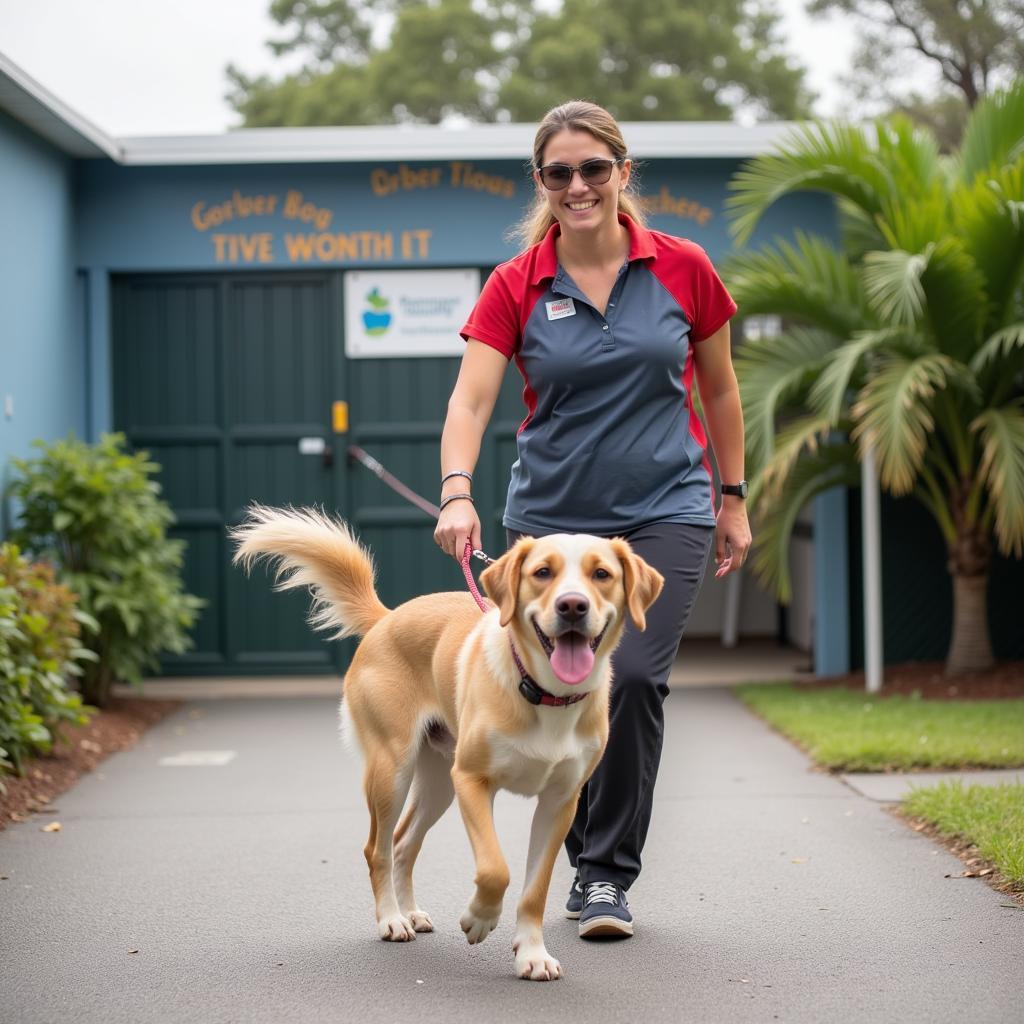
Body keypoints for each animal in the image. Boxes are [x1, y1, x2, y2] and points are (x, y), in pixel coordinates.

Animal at [232, 507, 663, 978]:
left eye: (601, 574)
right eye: (542, 573)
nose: (572, 605)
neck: (544, 692)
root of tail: (386, 617)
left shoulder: (559, 803)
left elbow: (534, 889)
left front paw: (532, 954)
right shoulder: (473, 781)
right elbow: (495, 868)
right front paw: (479, 919)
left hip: (439, 783)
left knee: (404, 843)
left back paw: (410, 912)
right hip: (394, 771)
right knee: (377, 848)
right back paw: (391, 919)